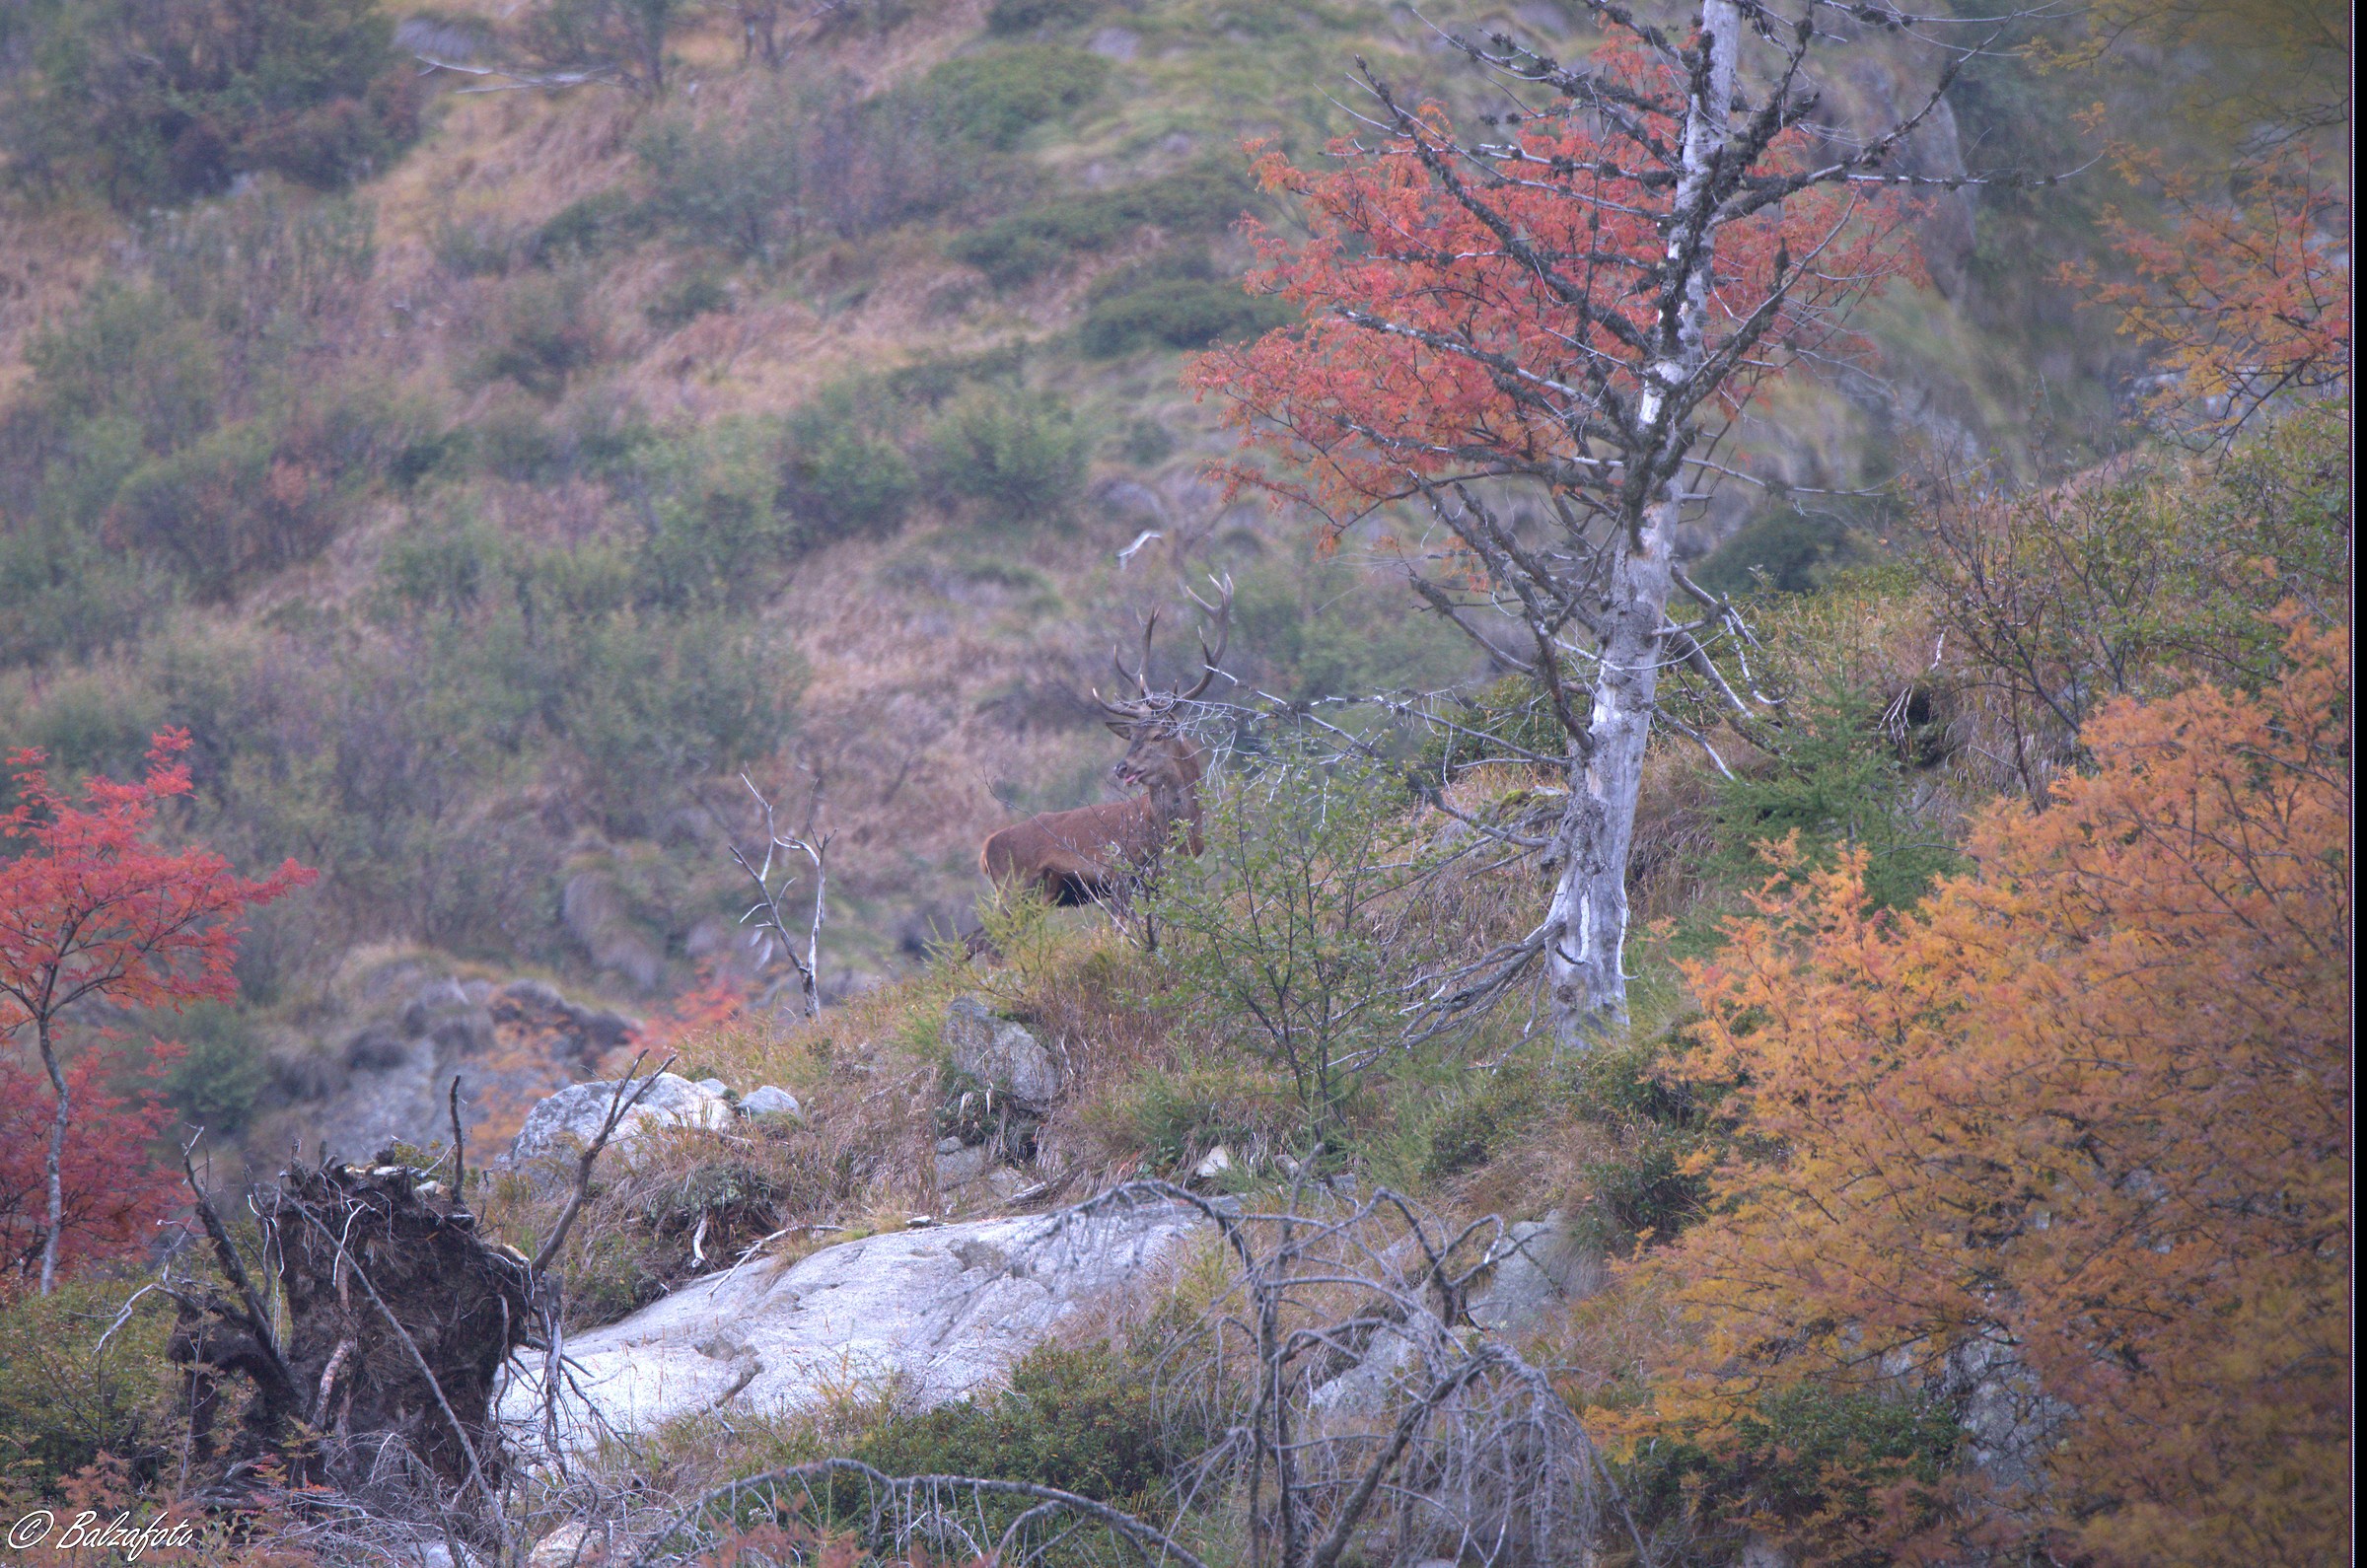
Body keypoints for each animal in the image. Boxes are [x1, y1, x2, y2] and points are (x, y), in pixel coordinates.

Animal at [979, 578, 1231, 914]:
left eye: (1157, 736)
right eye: (1132, 736)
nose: (1122, 767)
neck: (1173, 837)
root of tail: (986, 849)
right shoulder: (1120, 873)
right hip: (1012, 888)